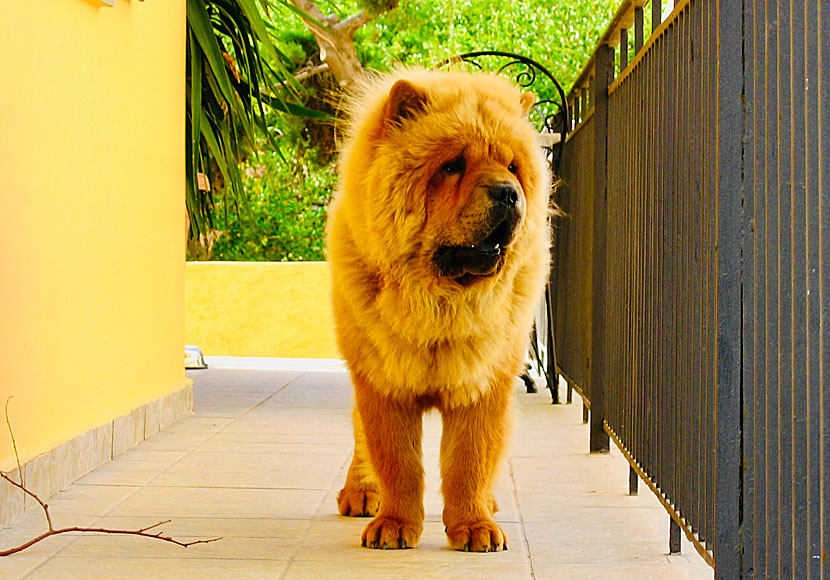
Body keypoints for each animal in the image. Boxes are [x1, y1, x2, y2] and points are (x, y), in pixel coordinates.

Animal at [326, 68, 552, 552]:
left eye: (512, 167)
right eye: (452, 166)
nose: (508, 194)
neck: (441, 301)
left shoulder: (484, 384)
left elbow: (470, 459)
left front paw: (474, 527)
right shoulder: (382, 383)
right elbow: (398, 461)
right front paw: (394, 524)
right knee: (359, 438)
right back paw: (361, 492)